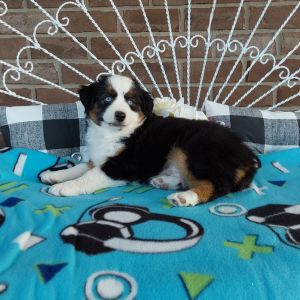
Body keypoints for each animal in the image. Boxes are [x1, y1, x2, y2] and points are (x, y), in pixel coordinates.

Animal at [40, 74, 260, 207]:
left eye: (130, 102)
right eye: (107, 99)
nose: (120, 115)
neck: (111, 134)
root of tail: (247, 155)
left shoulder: (122, 165)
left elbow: (89, 175)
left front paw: (64, 187)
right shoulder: (101, 158)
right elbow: (81, 167)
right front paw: (55, 175)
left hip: (194, 148)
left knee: (219, 184)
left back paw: (185, 197)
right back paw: (163, 182)